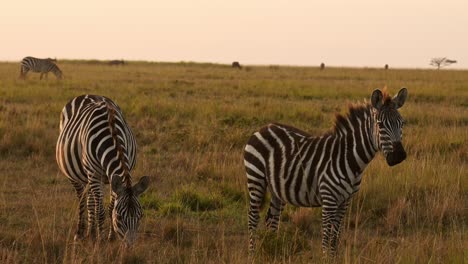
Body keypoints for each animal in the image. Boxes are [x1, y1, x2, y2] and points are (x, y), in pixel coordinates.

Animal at [56, 95, 150, 245]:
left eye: (141, 215)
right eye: (119, 217)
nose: (130, 246)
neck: (112, 133)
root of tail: (87, 95)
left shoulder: (113, 178)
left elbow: (109, 207)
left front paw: (110, 236)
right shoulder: (94, 174)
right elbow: (100, 210)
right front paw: (101, 239)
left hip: (89, 176)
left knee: (90, 201)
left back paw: (91, 231)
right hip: (77, 175)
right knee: (82, 200)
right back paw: (80, 233)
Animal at [243, 87, 408, 256]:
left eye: (402, 123)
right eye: (380, 125)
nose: (399, 156)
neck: (350, 159)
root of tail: (263, 128)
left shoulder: (345, 201)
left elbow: (336, 234)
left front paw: (333, 257)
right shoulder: (328, 198)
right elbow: (327, 233)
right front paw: (325, 257)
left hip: (278, 188)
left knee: (272, 219)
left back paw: (274, 249)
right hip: (256, 178)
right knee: (253, 217)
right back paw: (253, 254)